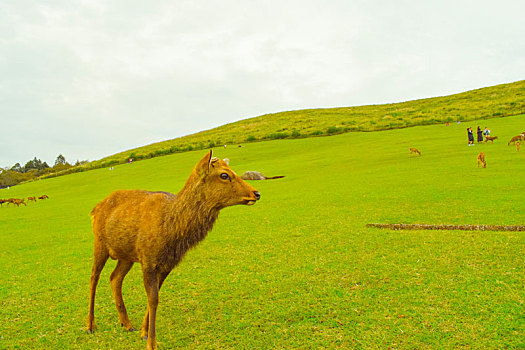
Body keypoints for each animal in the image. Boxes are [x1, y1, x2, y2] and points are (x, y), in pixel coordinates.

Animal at [86, 150, 262, 350]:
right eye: (224, 175)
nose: (256, 193)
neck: (171, 230)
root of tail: (94, 209)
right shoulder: (148, 259)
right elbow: (153, 299)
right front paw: (151, 343)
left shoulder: (167, 264)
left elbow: (155, 296)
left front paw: (143, 333)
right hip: (100, 243)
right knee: (94, 278)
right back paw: (90, 325)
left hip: (126, 255)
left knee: (114, 278)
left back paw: (127, 324)